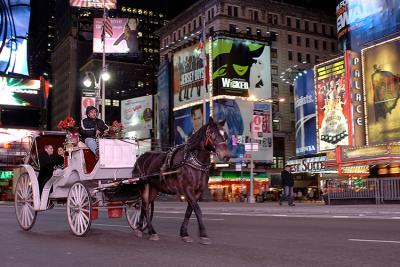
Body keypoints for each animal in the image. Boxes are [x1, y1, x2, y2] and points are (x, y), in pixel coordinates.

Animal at [133, 117, 230, 245]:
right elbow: (197, 210)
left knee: (146, 206)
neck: (192, 160)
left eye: (226, 135)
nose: (226, 156)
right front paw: (203, 235)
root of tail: (140, 158)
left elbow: (189, 210)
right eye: (212, 134)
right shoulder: (187, 189)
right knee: (144, 206)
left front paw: (184, 233)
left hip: (153, 188)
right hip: (143, 185)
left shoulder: (198, 191)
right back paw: (151, 231)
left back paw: (139, 228)